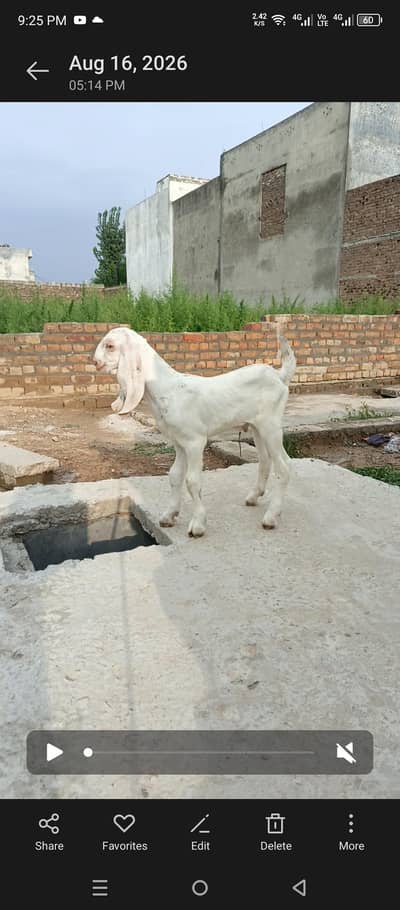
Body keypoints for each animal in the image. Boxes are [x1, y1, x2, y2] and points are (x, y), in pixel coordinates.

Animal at [93, 327, 296, 537]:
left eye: (110, 345)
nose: (95, 362)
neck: (169, 389)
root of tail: (279, 375)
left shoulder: (194, 442)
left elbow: (192, 481)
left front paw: (198, 525)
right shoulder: (179, 442)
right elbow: (175, 475)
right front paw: (169, 516)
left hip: (271, 426)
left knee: (283, 468)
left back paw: (270, 517)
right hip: (257, 427)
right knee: (267, 461)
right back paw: (253, 498)